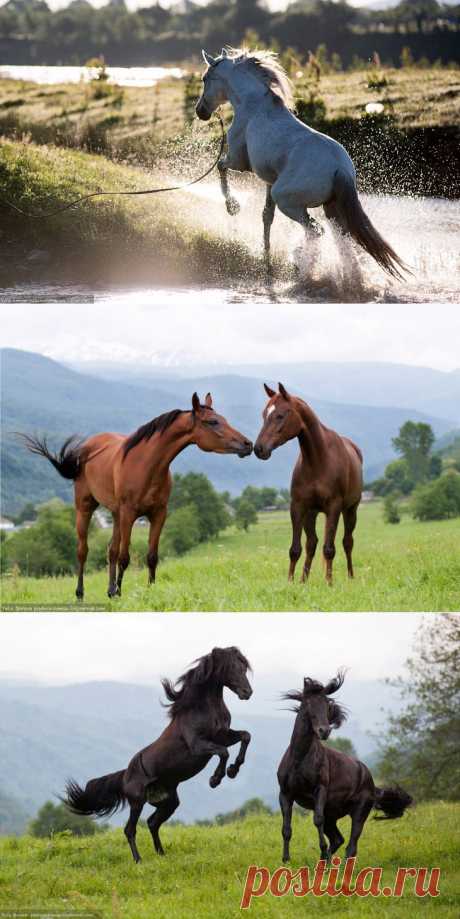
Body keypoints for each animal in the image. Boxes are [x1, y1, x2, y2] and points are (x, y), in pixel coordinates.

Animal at [18, 392, 252, 600]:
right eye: (213, 422)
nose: (247, 444)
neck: (146, 464)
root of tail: (86, 448)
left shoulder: (158, 514)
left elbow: (151, 556)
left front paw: (148, 591)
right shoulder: (129, 513)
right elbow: (125, 557)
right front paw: (121, 593)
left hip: (115, 514)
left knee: (110, 549)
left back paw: (109, 591)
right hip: (86, 508)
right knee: (83, 550)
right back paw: (81, 594)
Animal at [63, 648, 253, 864]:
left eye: (244, 668)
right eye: (231, 667)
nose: (247, 692)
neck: (202, 708)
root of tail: (125, 775)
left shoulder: (223, 736)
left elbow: (245, 736)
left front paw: (233, 770)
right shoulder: (198, 746)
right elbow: (223, 751)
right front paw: (216, 779)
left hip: (168, 802)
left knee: (152, 822)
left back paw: (162, 854)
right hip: (137, 801)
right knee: (130, 829)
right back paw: (138, 860)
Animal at [196, 48, 404, 278]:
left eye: (205, 79)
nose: (200, 111)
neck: (253, 105)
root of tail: (340, 170)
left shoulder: (238, 161)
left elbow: (220, 167)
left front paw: (232, 207)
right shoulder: (269, 181)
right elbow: (266, 216)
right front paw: (266, 257)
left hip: (289, 202)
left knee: (316, 231)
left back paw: (301, 263)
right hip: (331, 208)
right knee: (341, 237)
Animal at [252, 382, 362, 584]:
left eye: (280, 415)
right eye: (264, 415)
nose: (259, 449)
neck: (317, 460)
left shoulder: (334, 507)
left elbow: (329, 549)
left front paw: (329, 583)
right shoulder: (298, 507)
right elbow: (295, 549)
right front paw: (291, 582)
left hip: (350, 510)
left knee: (347, 542)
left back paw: (350, 577)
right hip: (311, 514)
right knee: (312, 543)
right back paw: (304, 580)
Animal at [276, 676, 414, 864]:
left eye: (327, 704)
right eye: (308, 703)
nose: (324, 731)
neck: (299, 758)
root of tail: (371, 783)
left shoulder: (320, 790)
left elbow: (317, 820)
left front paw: (321, 850)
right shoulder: (285, 794)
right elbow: (286, 829)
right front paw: (286, 860)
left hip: (359, 812)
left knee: (351, 845)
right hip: (332, 815)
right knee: (338, 839)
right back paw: (325, 863)